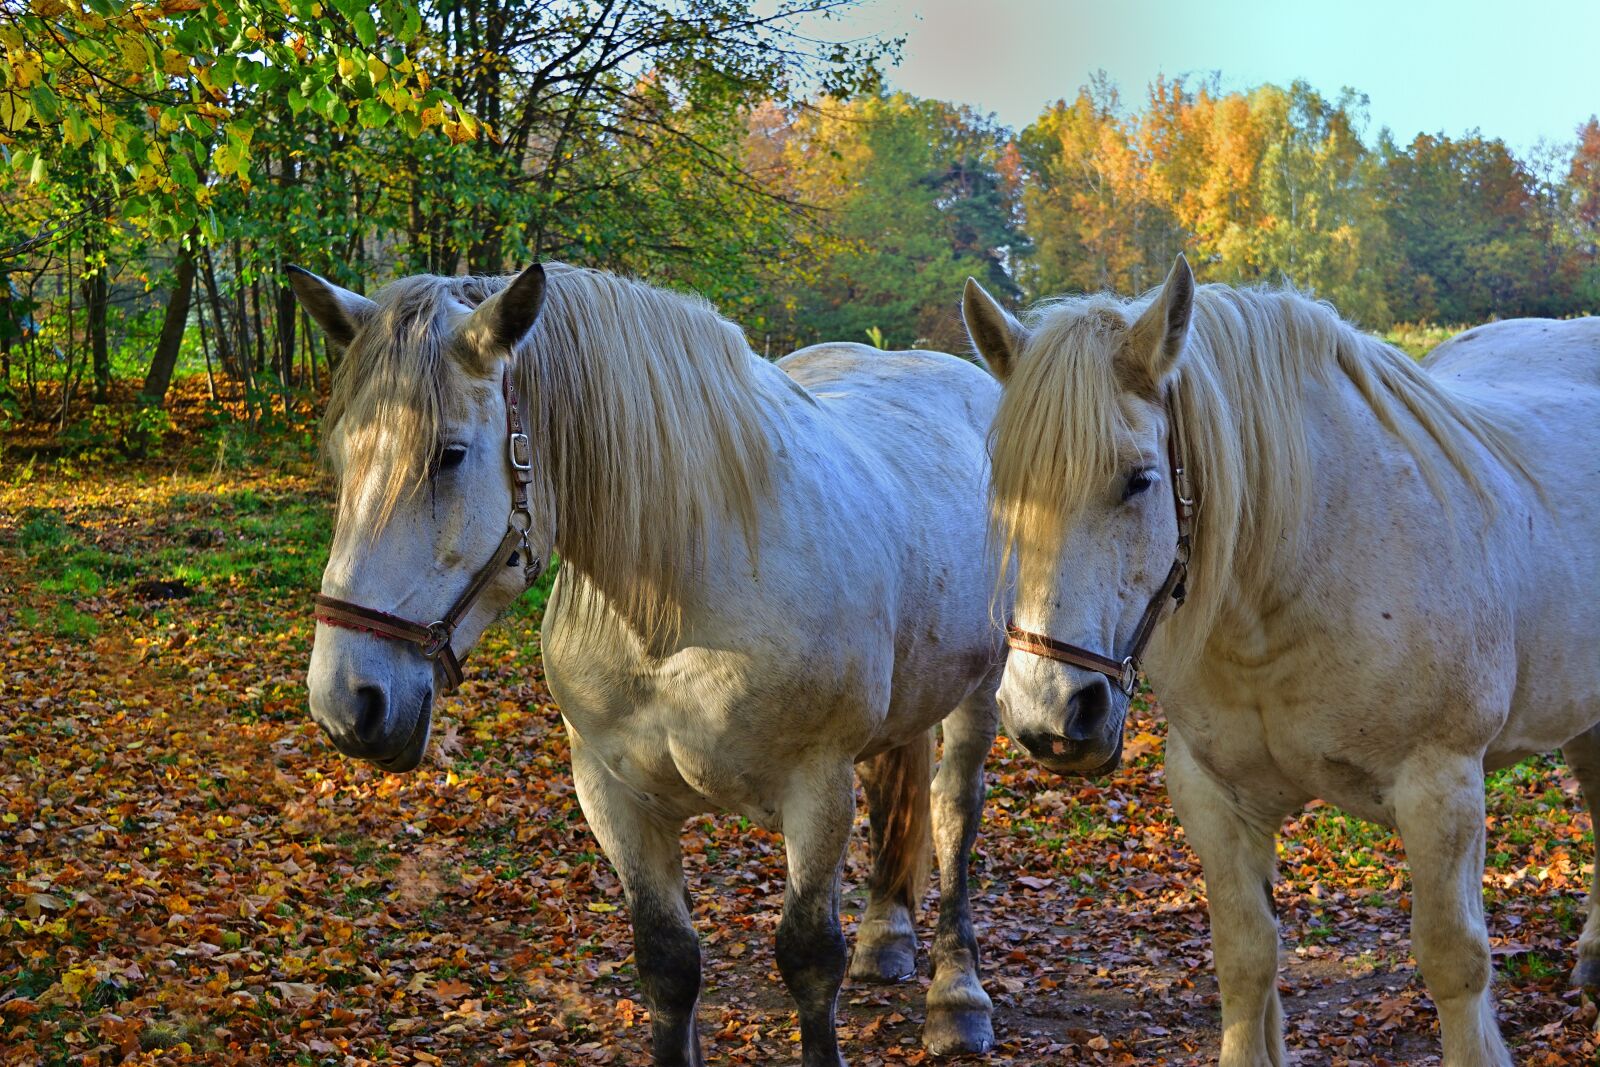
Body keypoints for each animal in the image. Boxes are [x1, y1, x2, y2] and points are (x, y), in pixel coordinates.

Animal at [291, 261, 1006, 1066]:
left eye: (450, 453)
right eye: (341, 455)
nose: (347, 700)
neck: (677, 609)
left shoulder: (817, 790)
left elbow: (808, 960)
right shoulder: (615, 796)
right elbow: (668, 965)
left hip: (979, 695)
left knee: (952, 815)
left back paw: (957, 998)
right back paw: (886, 939)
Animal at [962, 255, 1600, 1067]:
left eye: (1139, 478)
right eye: (1007, 490)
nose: (1050, 714)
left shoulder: (1441, 790)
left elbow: (1454, 962)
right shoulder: (1213, 795)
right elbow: (1244, 957)